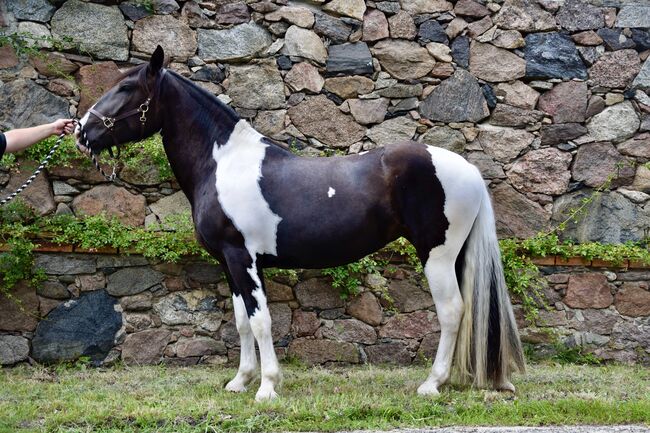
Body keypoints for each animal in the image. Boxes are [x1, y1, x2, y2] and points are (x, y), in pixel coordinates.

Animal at [76, 45, 524, 400]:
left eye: (127, 89)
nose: (81, 132)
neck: (222, 164)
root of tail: (467, 167)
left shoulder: (243, 258)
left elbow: (260, 322)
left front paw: (267, 387)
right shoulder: (229, 264)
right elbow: (241, 323)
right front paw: (240, 381)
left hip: (438, 255)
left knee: (451, 311)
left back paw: (432, 384)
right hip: (456, 255)